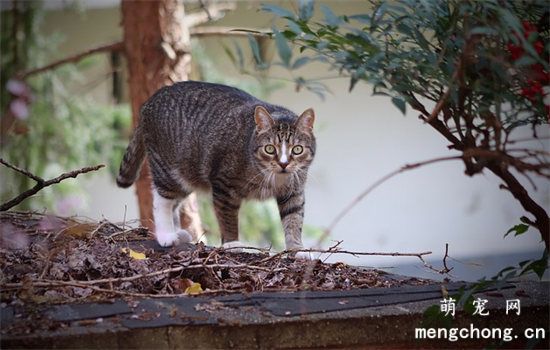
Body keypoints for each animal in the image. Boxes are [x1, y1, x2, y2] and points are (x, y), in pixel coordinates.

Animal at [117, 80, 314, 258]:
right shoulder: (224, 185)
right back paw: (166, 234)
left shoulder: (294, 192)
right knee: (162, 200)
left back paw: (177, 233)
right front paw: (232, 243)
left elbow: (294, 220)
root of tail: (149, 102)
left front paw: (297, 249)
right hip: (167, 168)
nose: (283, 164)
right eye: (270, 149)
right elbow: (227, 218)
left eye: (297, 149)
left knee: (174, 202)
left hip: (186, 176)